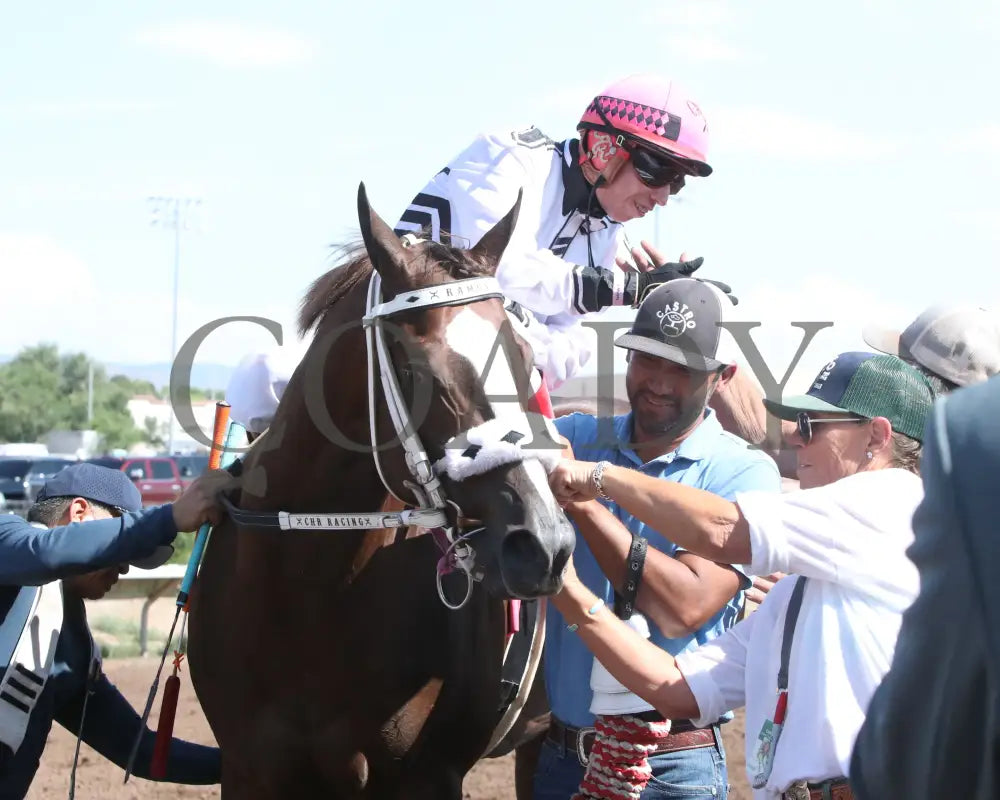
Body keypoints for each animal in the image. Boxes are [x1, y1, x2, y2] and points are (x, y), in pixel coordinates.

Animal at [188, 184, 576, 796]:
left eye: (527, 360)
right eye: (419, 371)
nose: (543, 543)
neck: (307, 598)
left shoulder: (427, 774)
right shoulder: (249, 766)